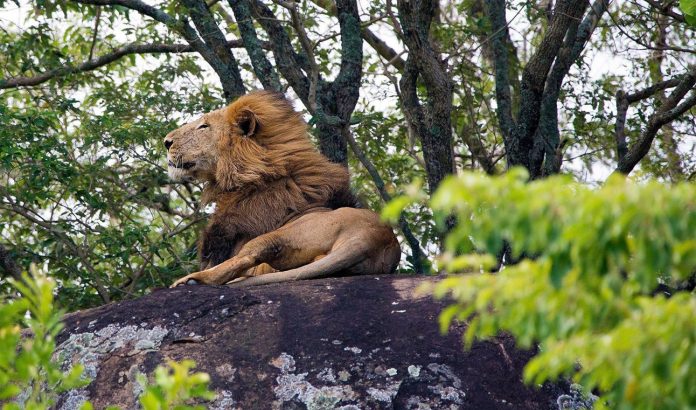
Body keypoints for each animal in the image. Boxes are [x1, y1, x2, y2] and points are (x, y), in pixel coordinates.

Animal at [163, 91, 400, 286]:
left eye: (204, 126)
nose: (166, 141)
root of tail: (371, 239)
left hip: (285, 234)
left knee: (246, 257)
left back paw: (192, 280)